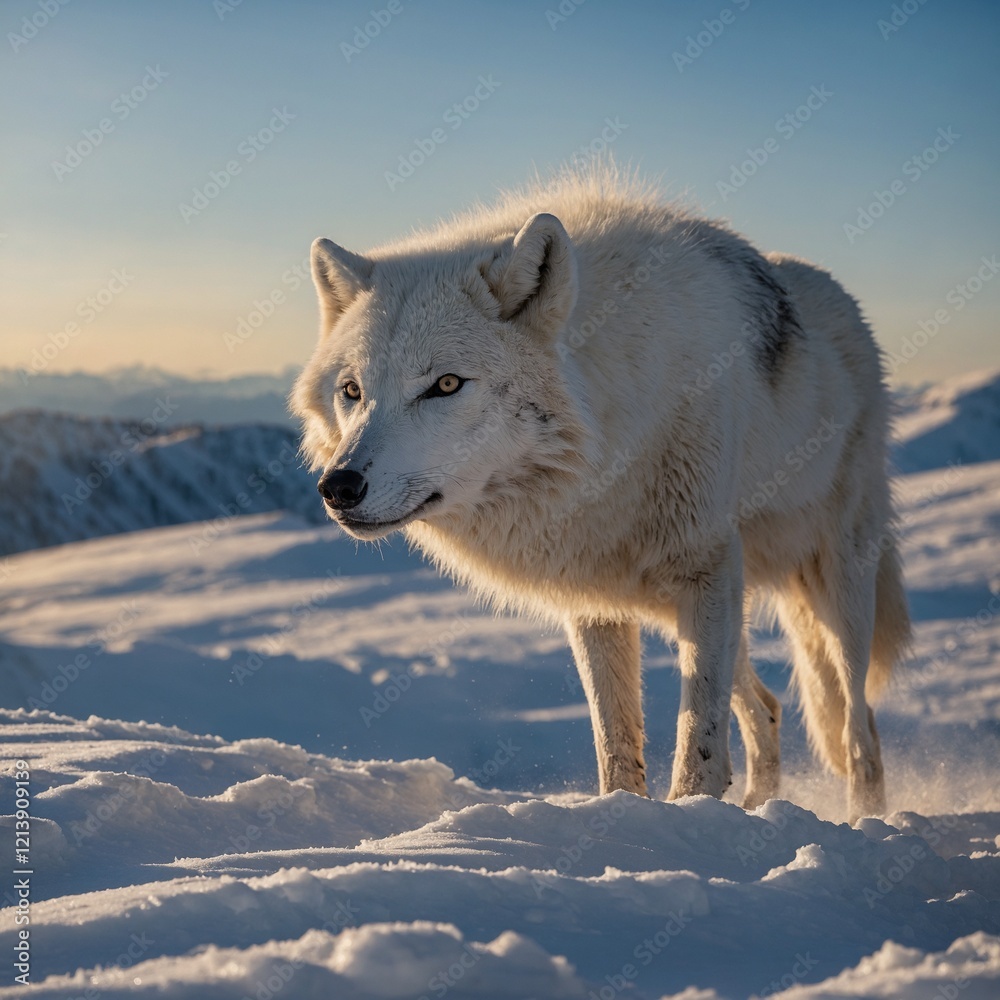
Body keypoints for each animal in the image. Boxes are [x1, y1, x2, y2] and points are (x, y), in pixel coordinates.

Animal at [291, 166, 910, 822]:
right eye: (352, 391)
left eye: (447, 384)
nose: (338, 486)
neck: (606, 453)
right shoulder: (595, 598)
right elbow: (616, 745)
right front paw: (628, 819)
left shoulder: (705, 565)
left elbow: (698, 743)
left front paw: (686, 818)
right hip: (709, 600)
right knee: (766, 708)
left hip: (832, 583)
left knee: (858, 724)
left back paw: (865, 817)